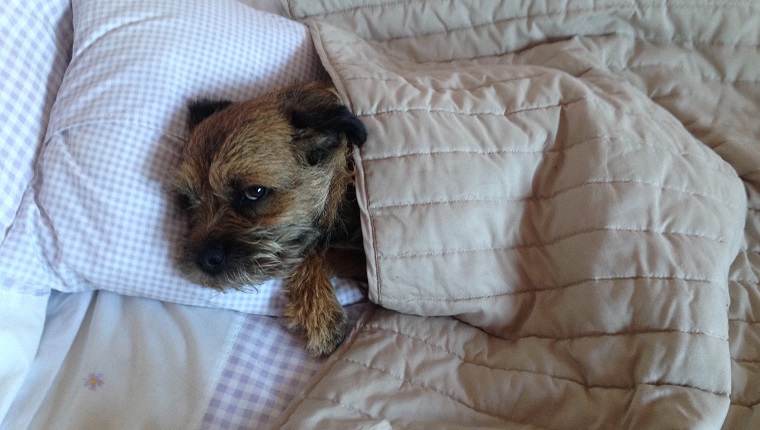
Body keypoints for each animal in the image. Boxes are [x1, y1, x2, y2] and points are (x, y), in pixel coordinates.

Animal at [176, 82, 372, 354]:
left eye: (255, 192)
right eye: (188, 200)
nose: (202, 260)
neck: (345, 184)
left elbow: (315, 252)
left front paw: (319, 314)